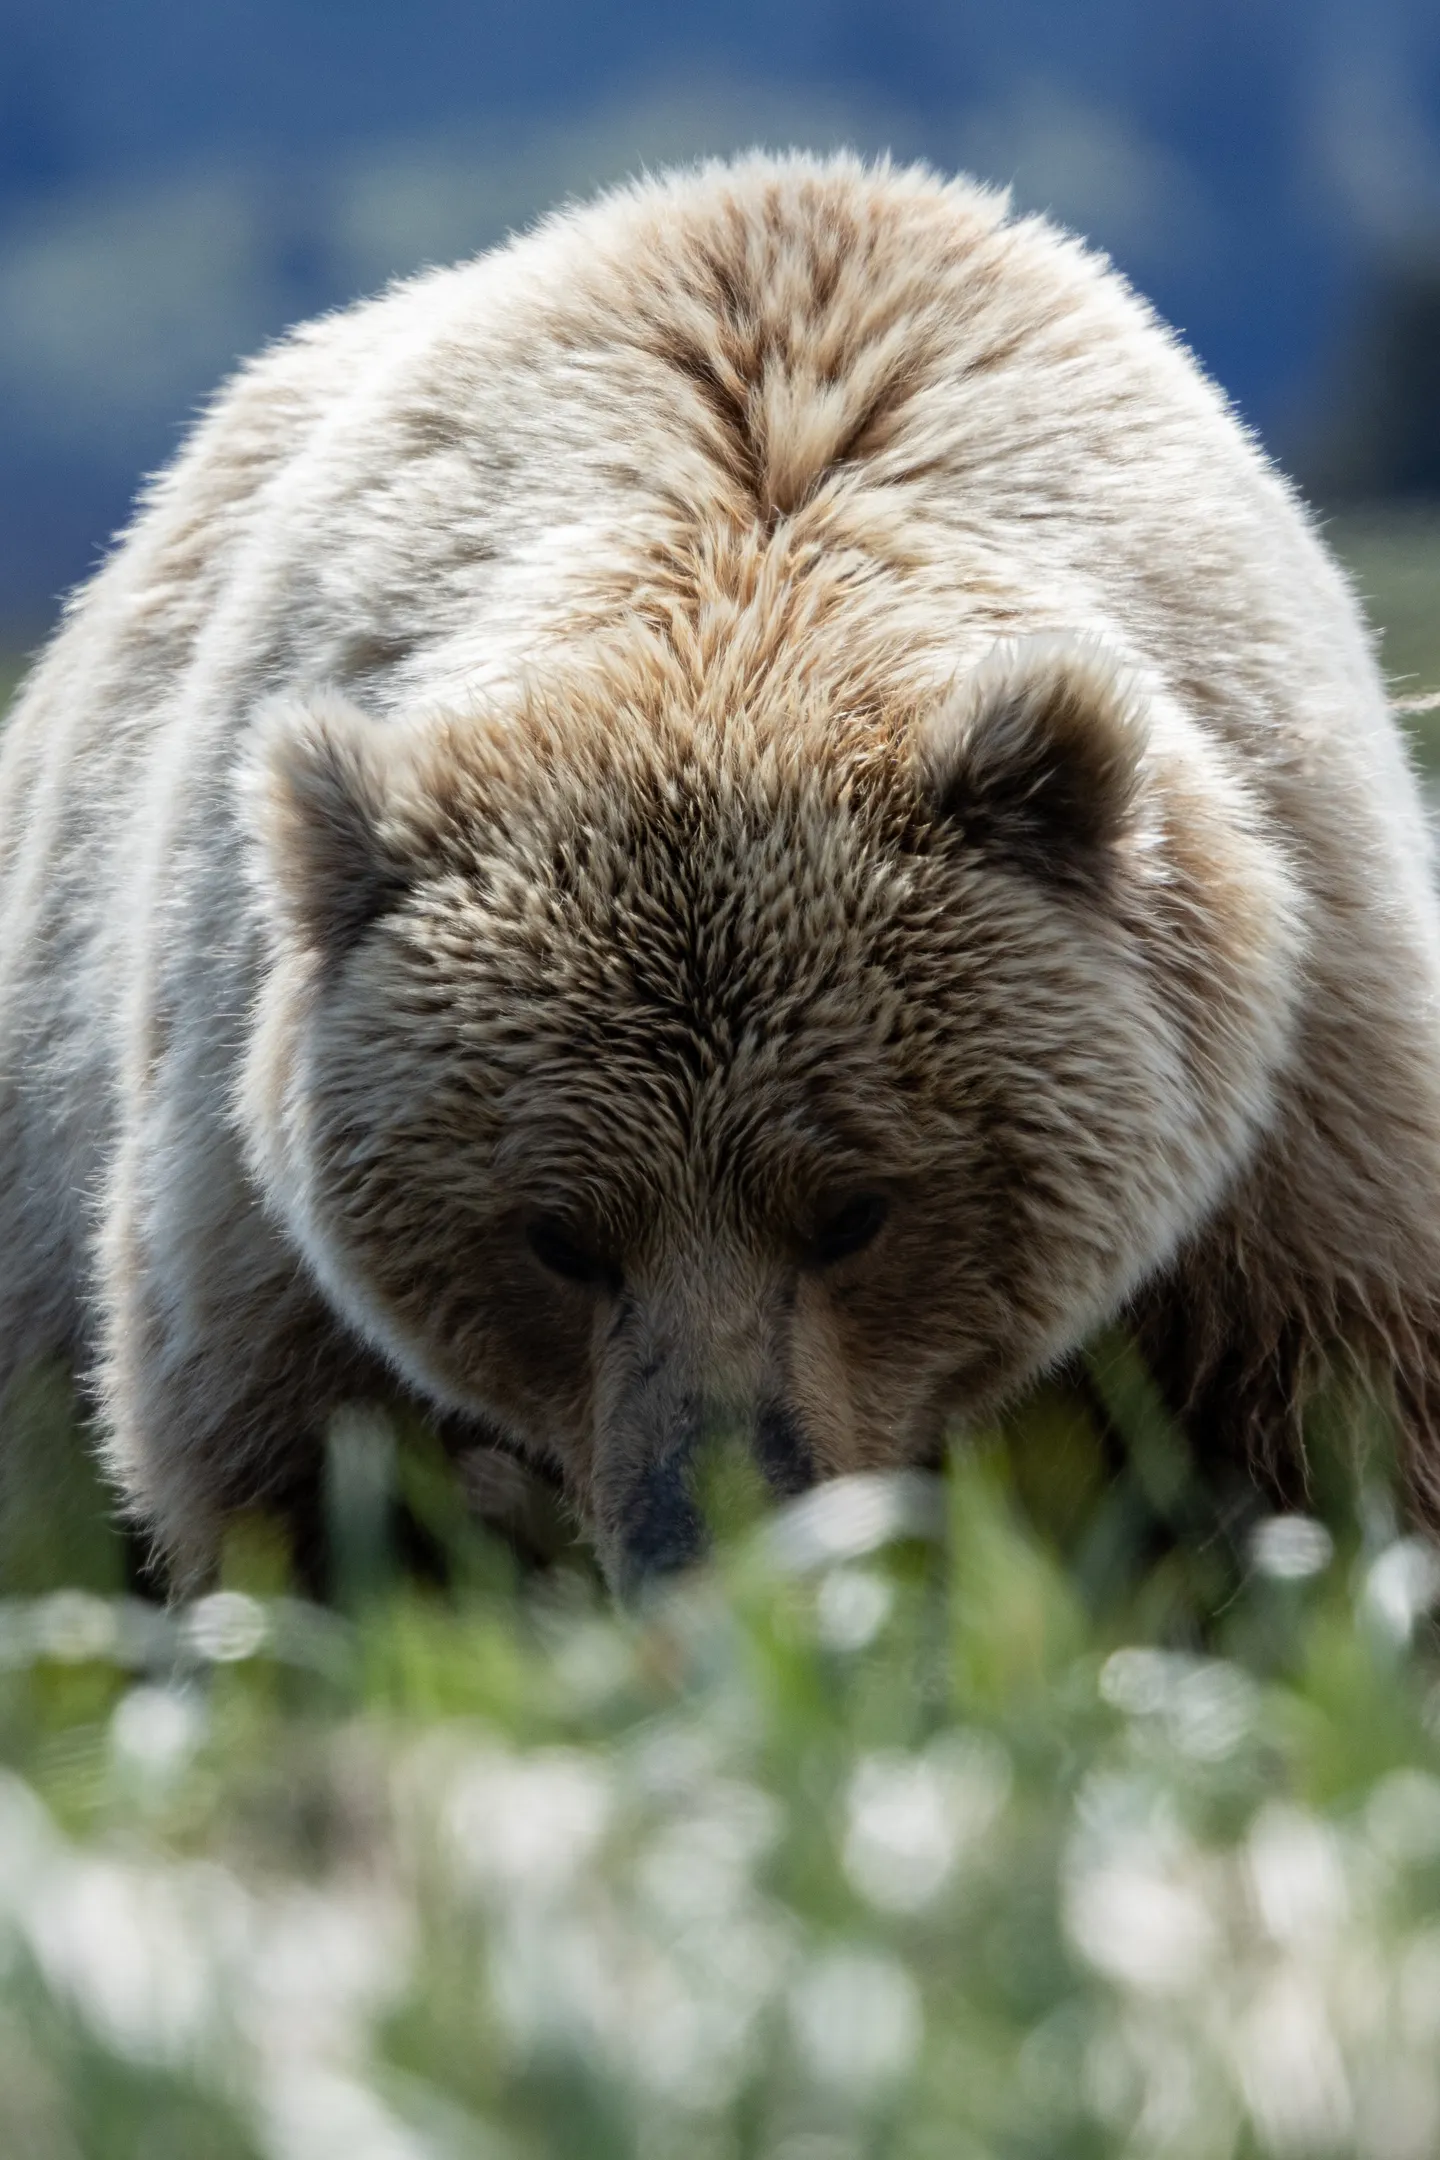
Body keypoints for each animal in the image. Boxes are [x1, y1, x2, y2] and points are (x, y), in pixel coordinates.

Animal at [1, 149, 1438, 1593]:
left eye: (855, 1209)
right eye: (559, 1234)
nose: (715, 1543)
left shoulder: (1299, 1114)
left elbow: (1345, 1419)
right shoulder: (252, 1230)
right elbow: (313, 1495)